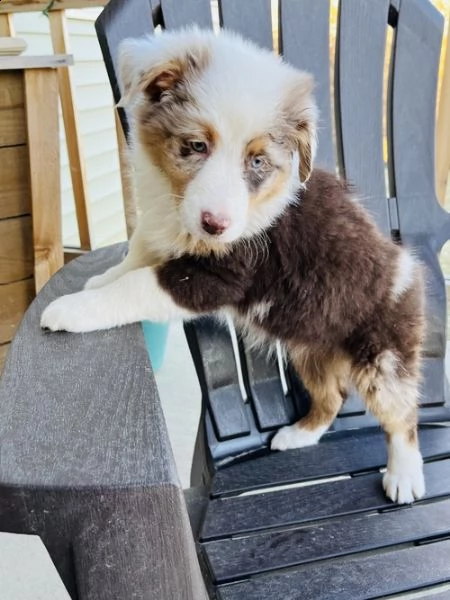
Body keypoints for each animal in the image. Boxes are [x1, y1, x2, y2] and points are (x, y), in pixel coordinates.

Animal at [41, 29, 426, 506]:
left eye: (257, 161)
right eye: (195, 146)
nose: (215, 224)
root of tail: (407, 269)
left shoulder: (218, 275)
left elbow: (136, 284)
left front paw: (72, 310)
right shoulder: (161, 222)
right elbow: (137, 251)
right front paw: (99, 278)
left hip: (383, 357)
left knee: (402, 416)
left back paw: (405, 475)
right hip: (310, 347)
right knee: (332, 396)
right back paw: (297, 435)